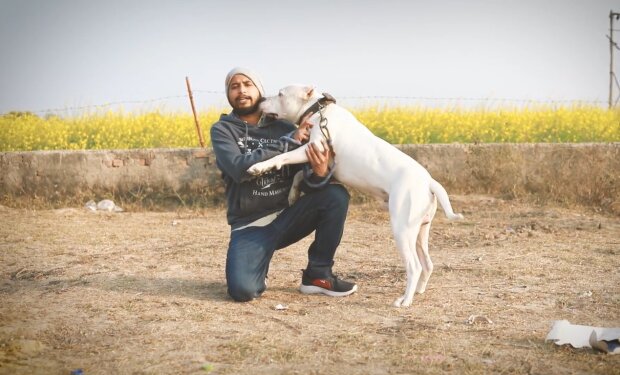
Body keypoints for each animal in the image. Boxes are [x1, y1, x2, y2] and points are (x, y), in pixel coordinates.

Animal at [245, 86, 462, 308]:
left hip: (402, 229)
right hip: (420, 231)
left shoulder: (313, 148)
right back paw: (419, 291)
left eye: (280, 94)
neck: (318, 110)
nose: (261, 100)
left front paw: (258, 167)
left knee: (415, 266)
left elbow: (283, 156)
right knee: (427, 263)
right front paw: (293, 193)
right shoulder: (322, 164)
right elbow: (299, 175)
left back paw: (405, 300)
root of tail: (429, 181)